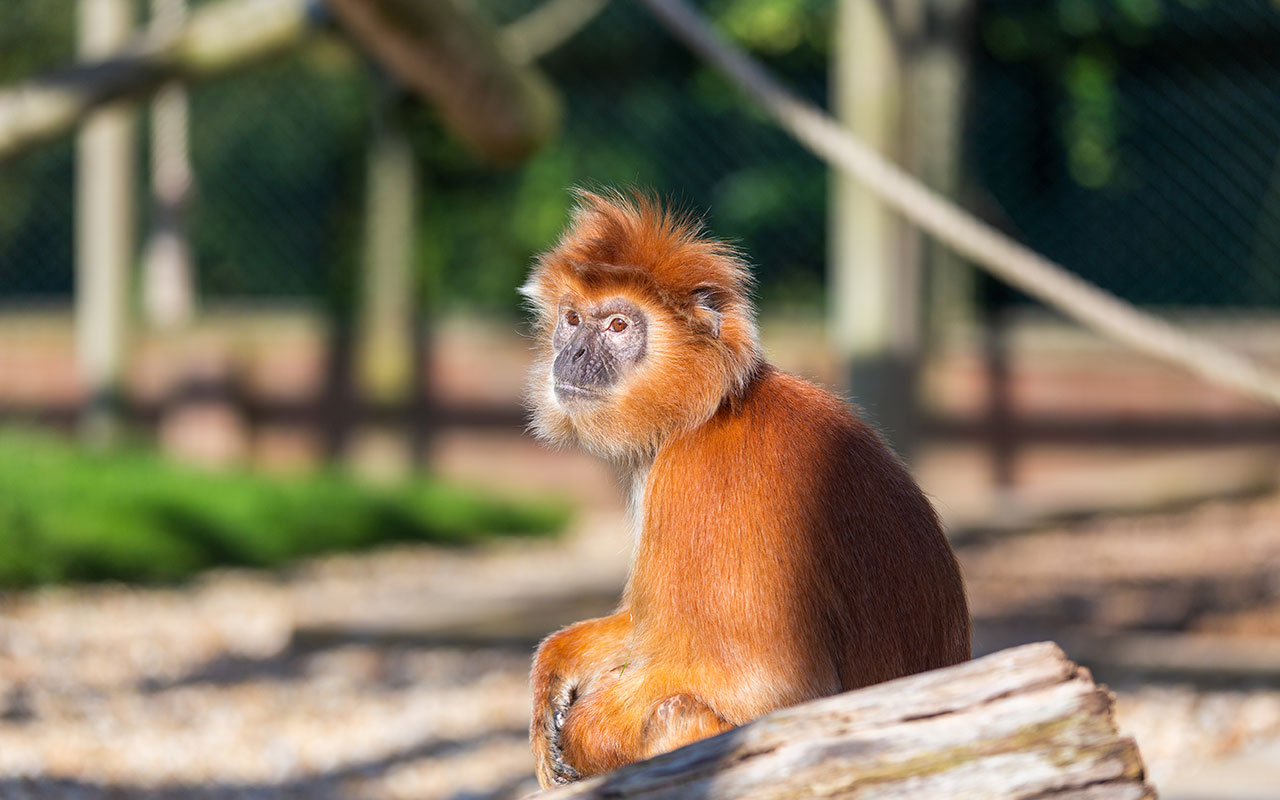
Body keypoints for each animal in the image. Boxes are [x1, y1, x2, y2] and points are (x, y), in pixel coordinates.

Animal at [521, 190, 970, 787]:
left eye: (617, 326)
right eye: (572, 320)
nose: (569, 355)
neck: (709, 409)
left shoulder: (707, 481)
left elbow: (769, 687)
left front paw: (581, 738)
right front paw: (555, 671)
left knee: (676, 713)